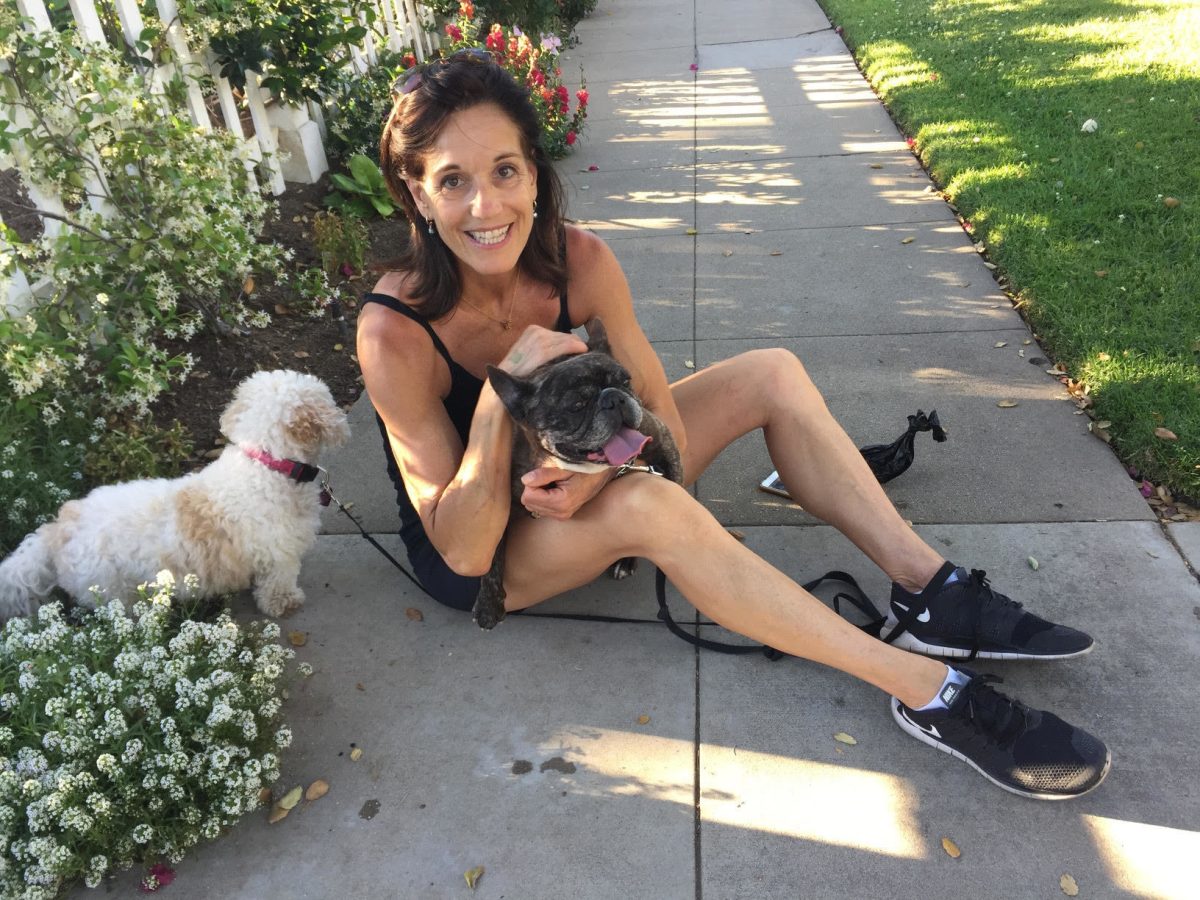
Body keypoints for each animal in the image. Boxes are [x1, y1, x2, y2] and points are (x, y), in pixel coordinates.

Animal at [0, 370, 350, 621]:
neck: (266, 464)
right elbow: (278, 585)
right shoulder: (280, 556)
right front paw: (285, 603)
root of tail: (59, 529)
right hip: (112, 591)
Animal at [473, 318, 683, 629]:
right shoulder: (502, 506)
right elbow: (493, 552)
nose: (614, 398)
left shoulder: (662, 440)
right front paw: (488, 603)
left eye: (625, 381)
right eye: (577, 405)